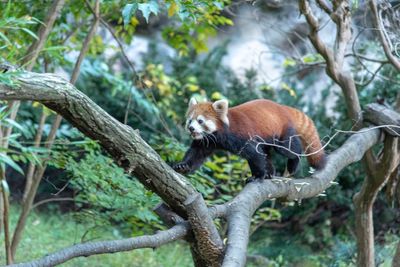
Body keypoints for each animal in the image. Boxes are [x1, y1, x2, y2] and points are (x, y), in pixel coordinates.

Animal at [173, 98, 326, 182]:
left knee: (288, 149)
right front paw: (183, 166)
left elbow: (254, 154)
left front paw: (257, 176)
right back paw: (270, 172)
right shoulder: (208, 141)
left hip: (282, 131)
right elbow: (196, 154)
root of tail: (282, 107)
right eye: (190, 120)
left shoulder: (241, 136)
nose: (191, 128)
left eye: (200, 121)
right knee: (267, 153)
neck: (220, 135)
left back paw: (293, 163)